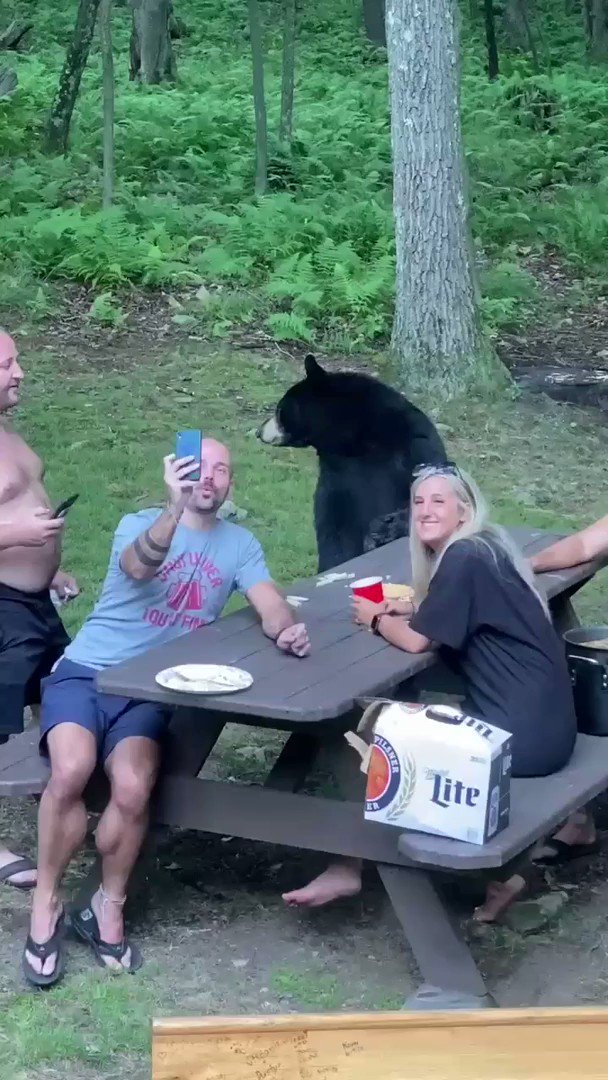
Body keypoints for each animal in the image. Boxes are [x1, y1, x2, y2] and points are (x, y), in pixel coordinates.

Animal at [257, 354, 447, 573]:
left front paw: (386, 527)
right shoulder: (338, 477)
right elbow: (336, 529)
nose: (259, 431)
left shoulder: (416, 445)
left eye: (279, 409)